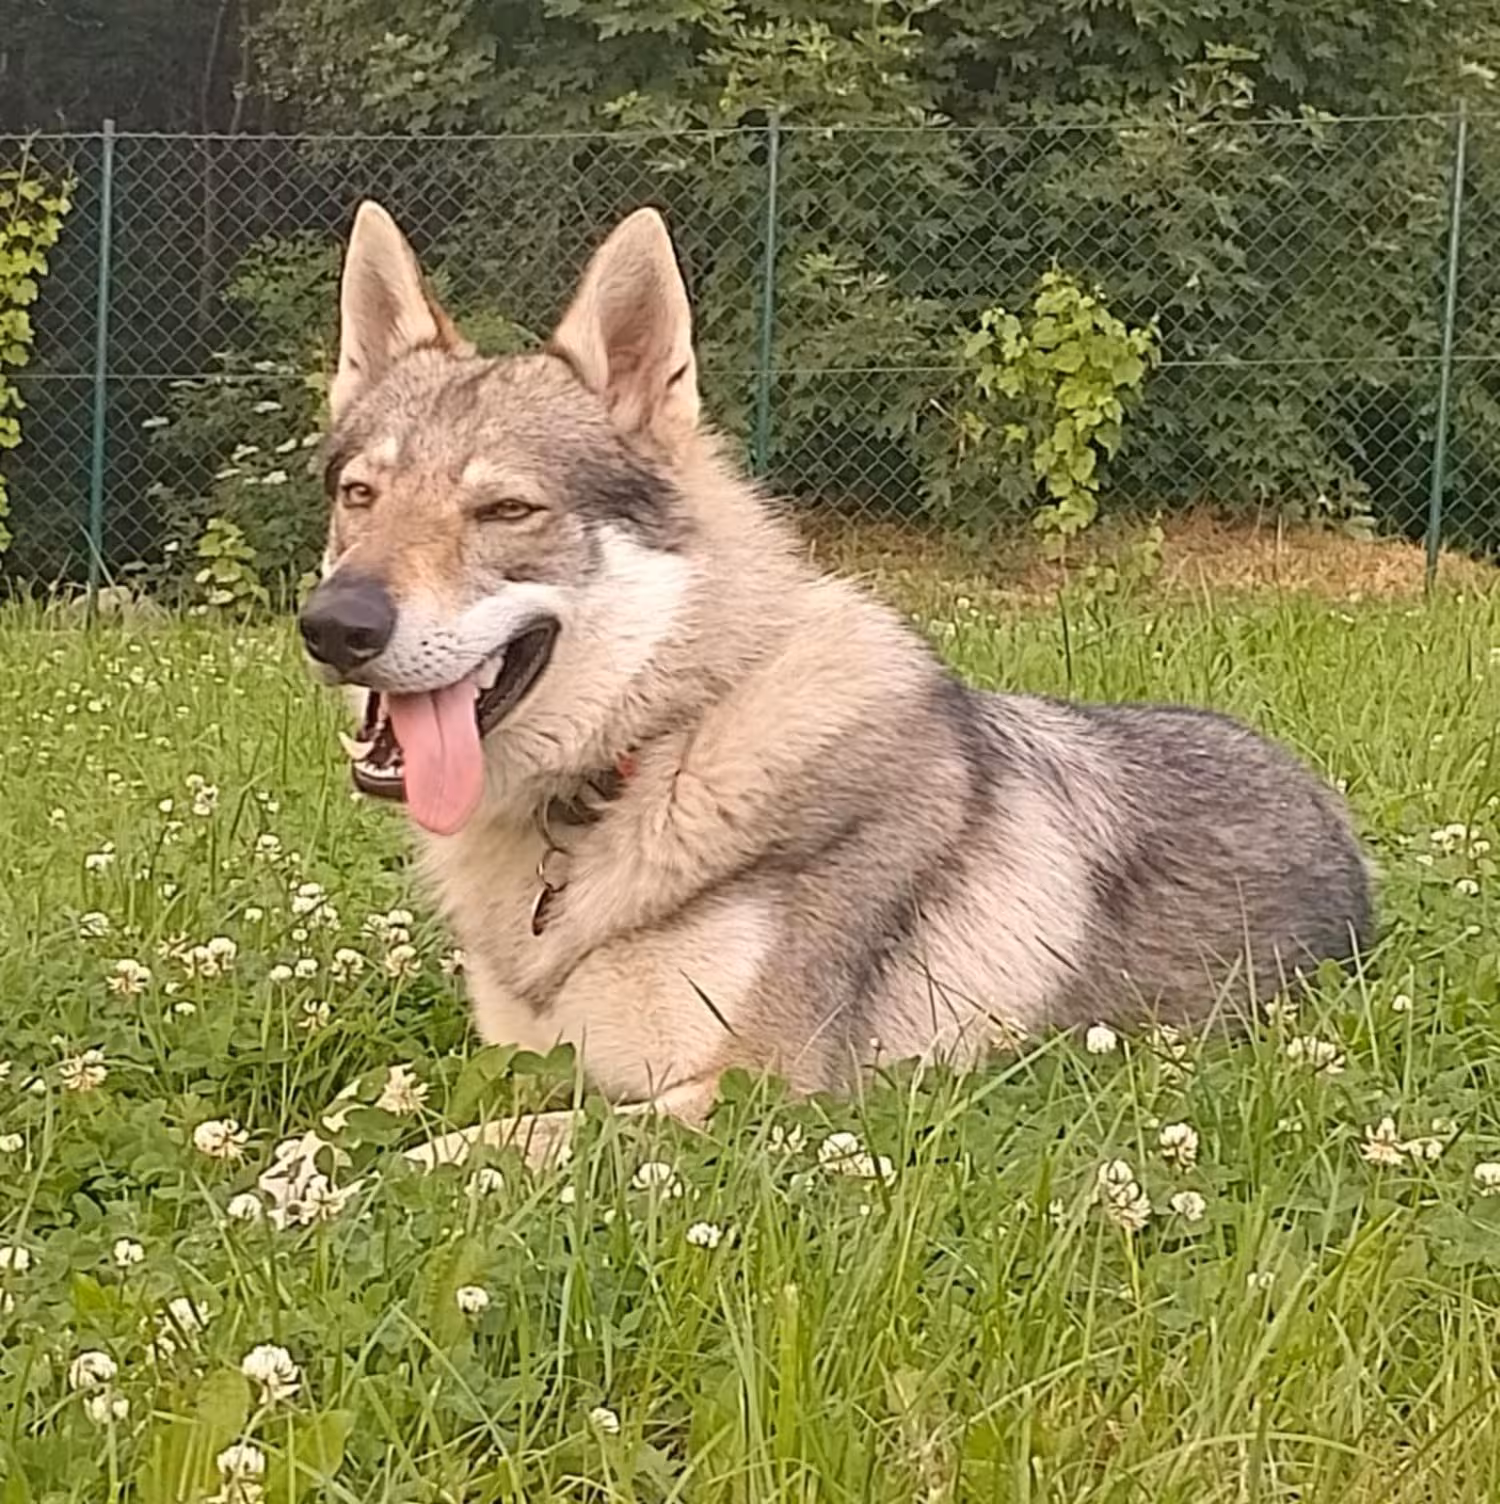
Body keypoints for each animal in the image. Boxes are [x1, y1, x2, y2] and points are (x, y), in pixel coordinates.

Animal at [297, 200, 1374, 1163]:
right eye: (361, 495)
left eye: (507, 510)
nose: (334, 626)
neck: (642, 765)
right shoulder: (520, 1058)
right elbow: (359, 1110)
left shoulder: (760, 1087)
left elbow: (453, 1150)